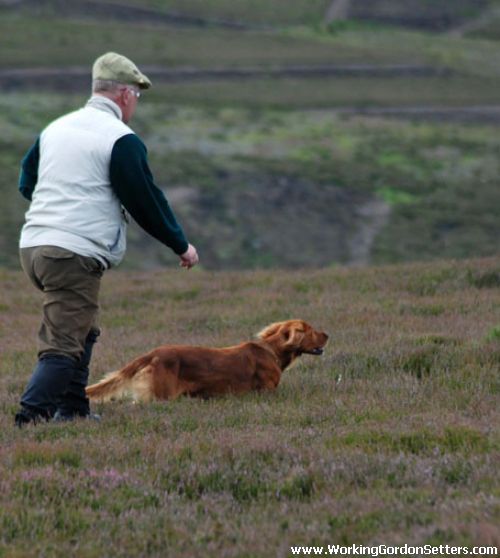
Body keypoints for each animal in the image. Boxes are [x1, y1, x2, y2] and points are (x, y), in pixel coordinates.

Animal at [86, 322, 328, 404]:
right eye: (311, 330)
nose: (328, 334)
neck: (272, 350)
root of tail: (153, 353)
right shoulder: (267, 390)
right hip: (161, 395)